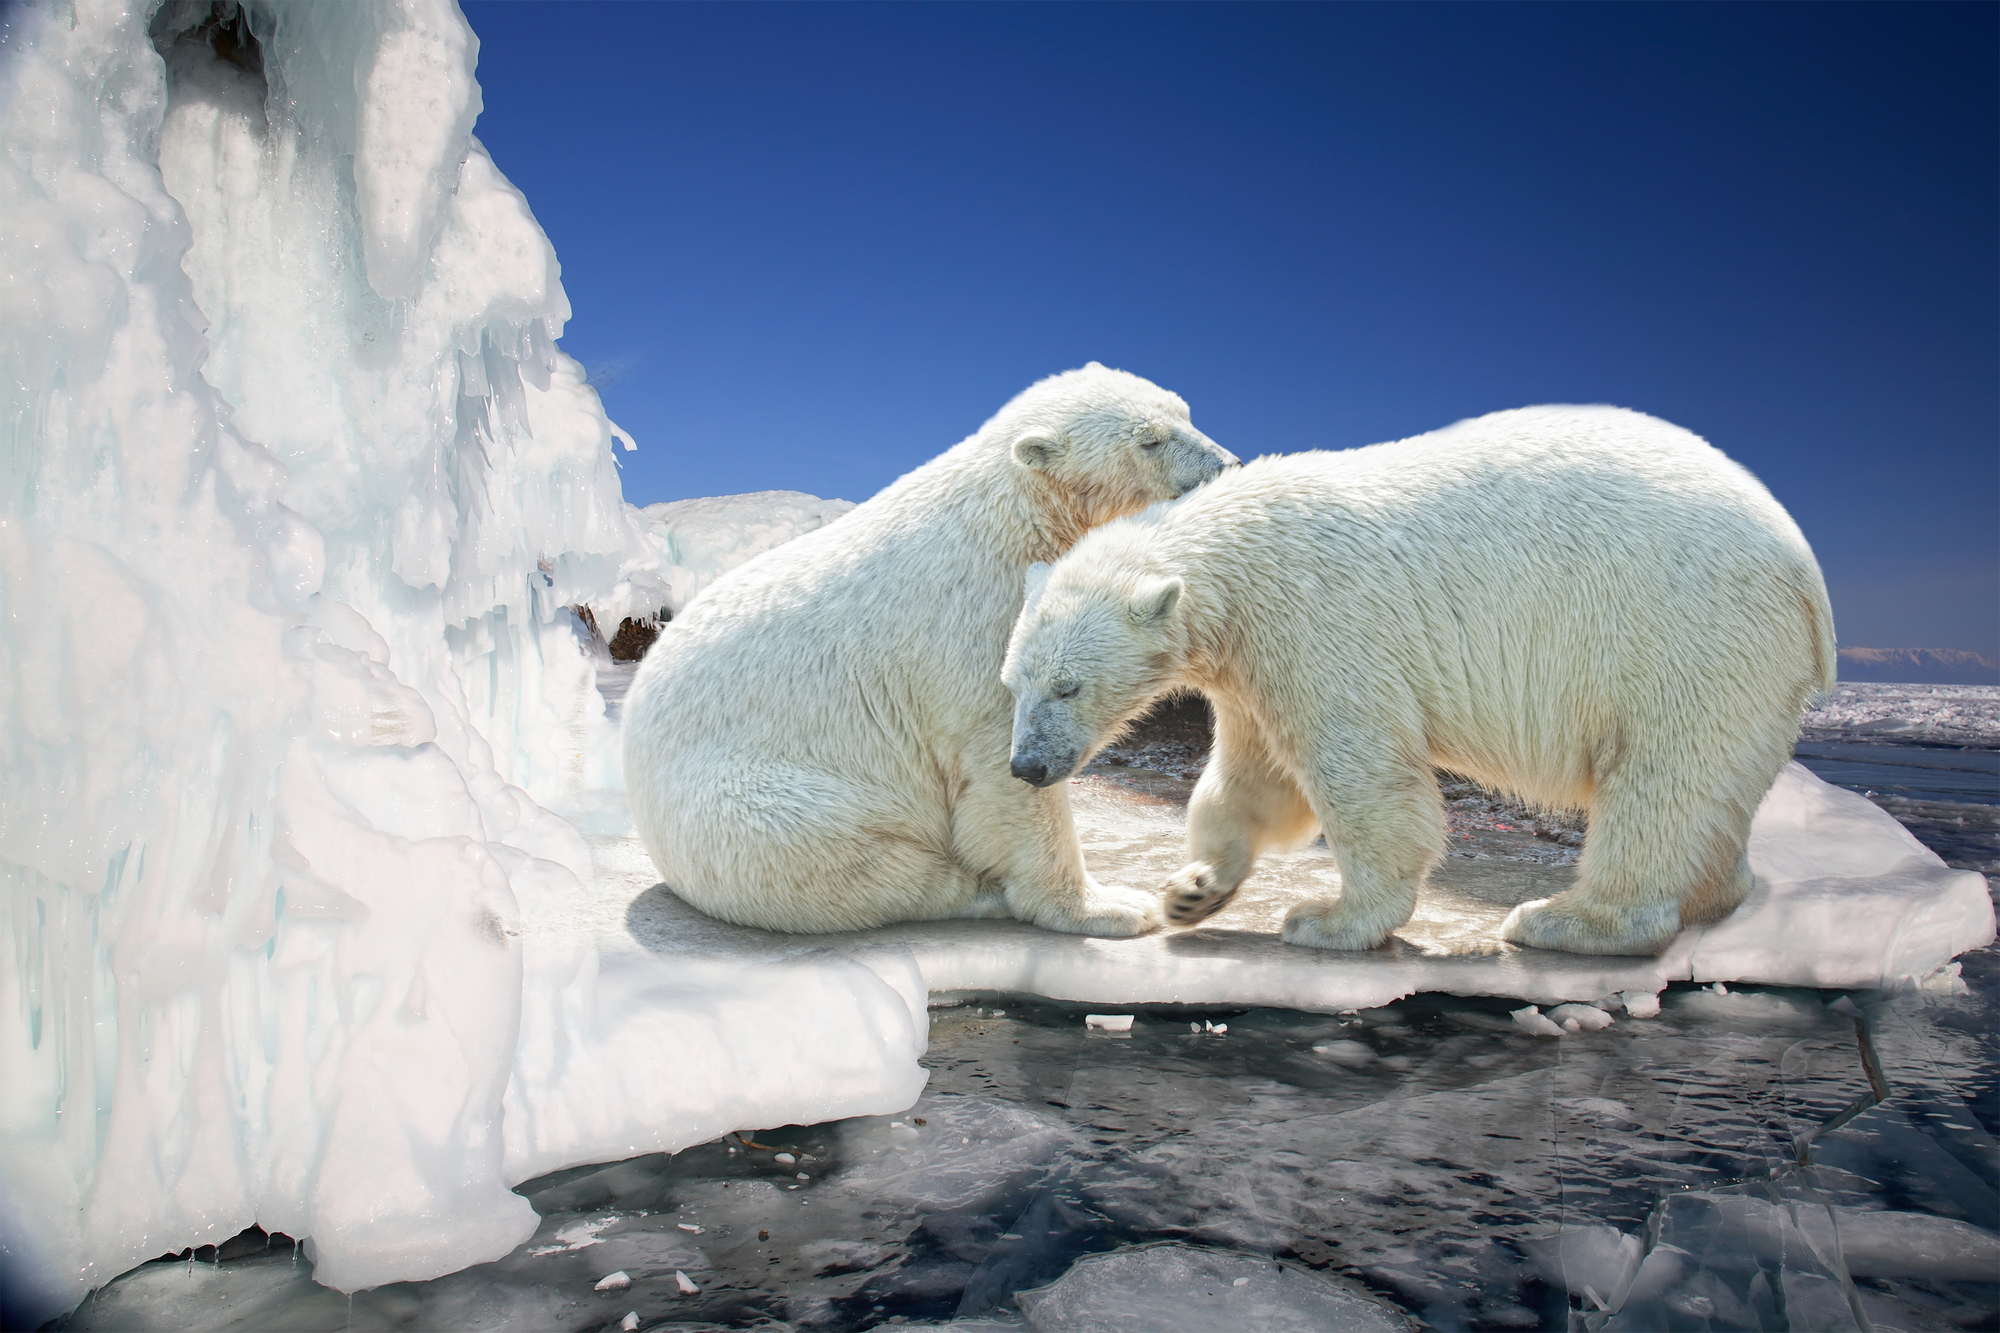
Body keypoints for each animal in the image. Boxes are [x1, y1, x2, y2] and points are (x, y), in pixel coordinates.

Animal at [620, 358, 1232, 928]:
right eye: (1149, 440)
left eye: (1186, 413)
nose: (1226, 466)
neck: (1015, 518)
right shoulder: (979, 621)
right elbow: (1000, 763)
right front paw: (1108, 906)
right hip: (753, 802)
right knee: (848, 856)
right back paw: (977, 892)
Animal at [1008, 404, 1832, 956]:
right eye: (1014, 683)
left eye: (1067, 687)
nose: (1027, 765)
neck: (1235, 553)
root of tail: (1803, 569)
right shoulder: (1255, 661)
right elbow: (1254, 777)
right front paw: (1192, 891)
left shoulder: (1321, 621)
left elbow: (1361, 771)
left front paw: (1329, 920)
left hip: (1688, 633)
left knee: (1662, 781)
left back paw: (1564, 918)